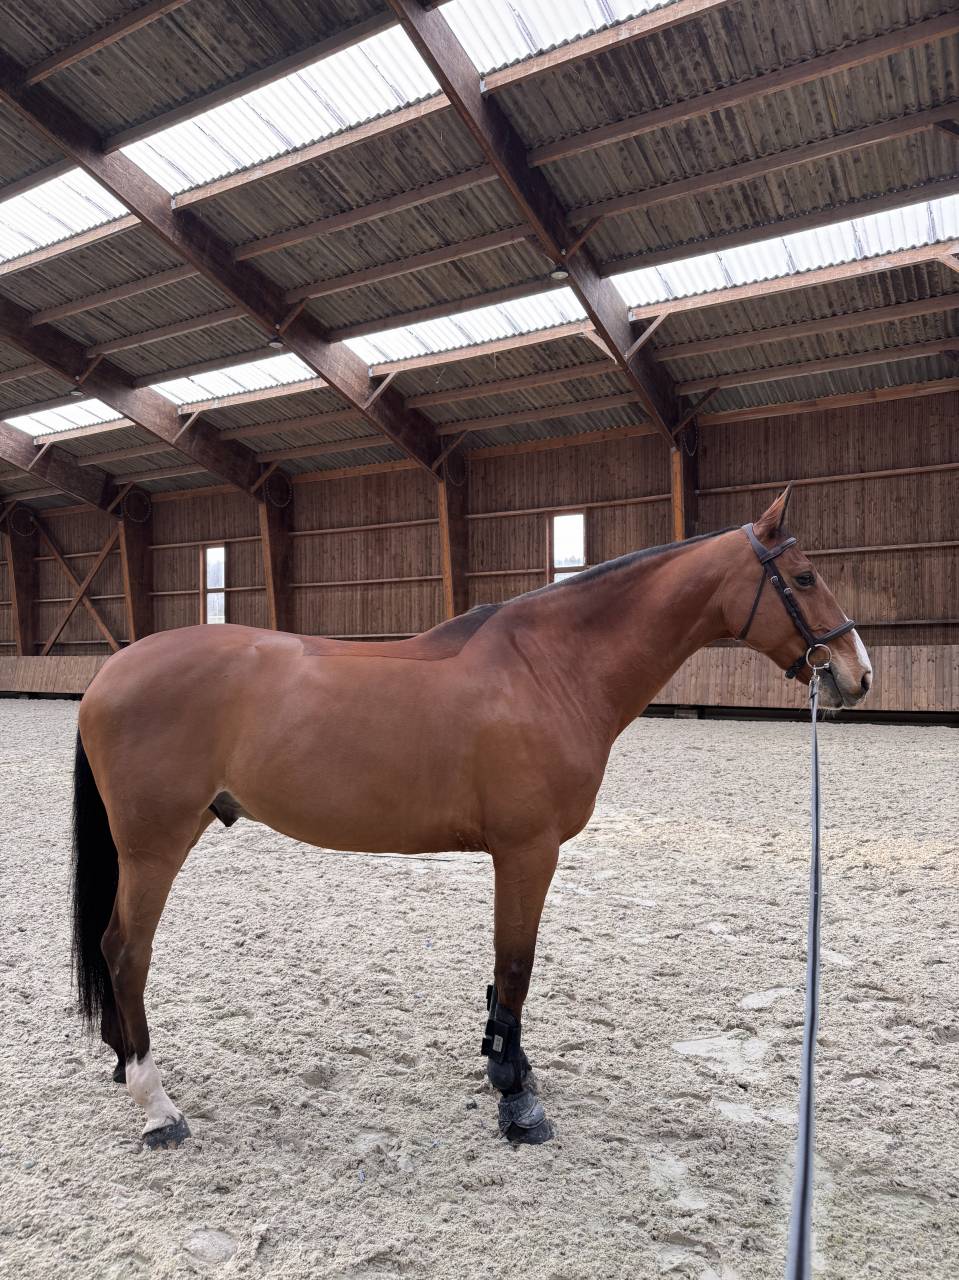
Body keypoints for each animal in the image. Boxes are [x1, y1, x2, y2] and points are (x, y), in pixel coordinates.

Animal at [70, 487, 872, 1148]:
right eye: (803, 579)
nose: (857, 674)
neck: (547, 669)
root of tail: (109, 673)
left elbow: (504, 970)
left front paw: (505, 1067)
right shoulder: (527, 851)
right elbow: (515, 965)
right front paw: (517, 1100)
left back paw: (122, 1063)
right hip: (155, 846)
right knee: (126, 951)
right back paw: (156, 1104)